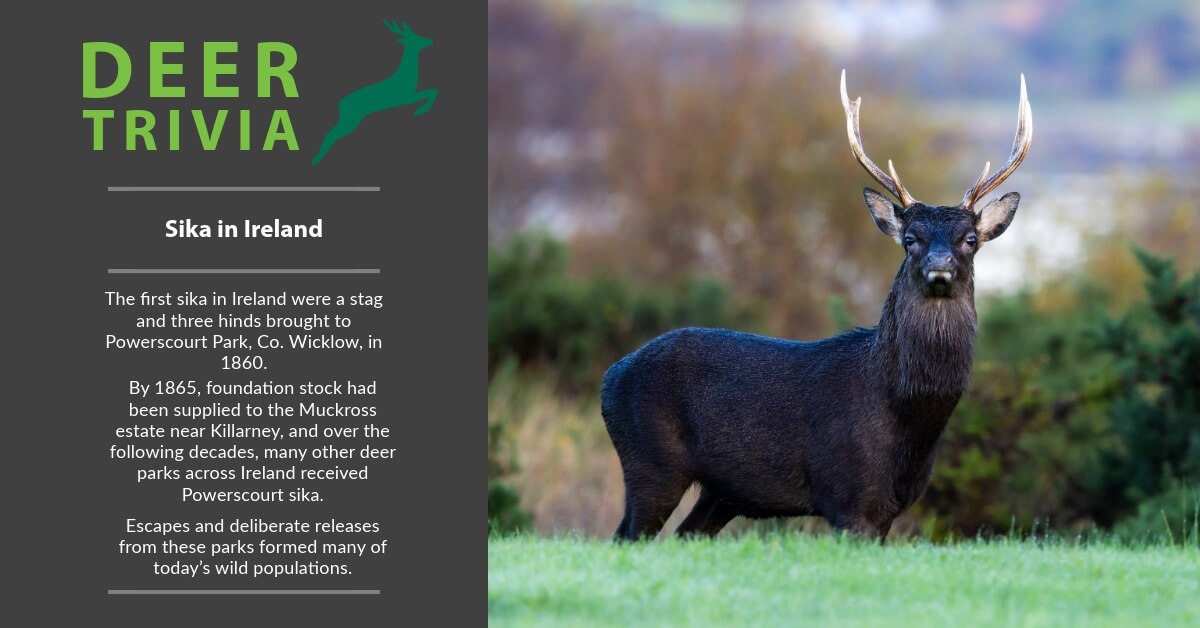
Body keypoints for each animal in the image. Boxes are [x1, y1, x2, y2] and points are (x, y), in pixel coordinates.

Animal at [311, 20, 438, 165]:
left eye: (418, 35)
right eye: (416, 39)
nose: (431, 40)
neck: (407, 77)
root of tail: (340, 104)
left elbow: (434, 90)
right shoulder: (406, 98)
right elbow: (433, 91)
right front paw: (420, 111)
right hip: (351, 118)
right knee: (332, 134)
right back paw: (317, 159)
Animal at [600, 70, 1032, 541]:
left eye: (969, 240)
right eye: (910, 238)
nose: (940, 265)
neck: (906, 418)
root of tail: (609, 379)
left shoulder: (889, 510)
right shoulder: (846, 494)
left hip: (720, 492)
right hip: (650, 460)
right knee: (626, 535)